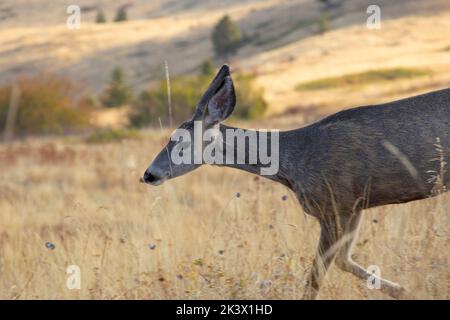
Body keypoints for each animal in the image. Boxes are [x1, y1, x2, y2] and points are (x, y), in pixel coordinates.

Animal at [142, 65, 450, 300]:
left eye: (180, 142)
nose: (149, 174)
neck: (293, 162)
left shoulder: (336, 203)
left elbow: (317, 276)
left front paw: (407, 290)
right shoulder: (352, 206)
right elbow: (342, 261)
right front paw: (404, 290)